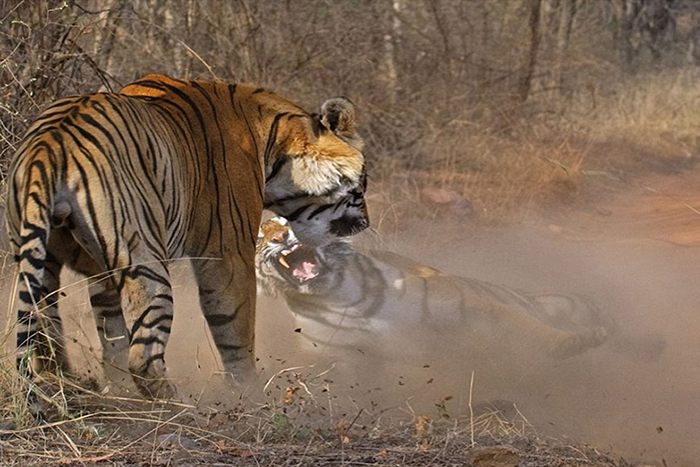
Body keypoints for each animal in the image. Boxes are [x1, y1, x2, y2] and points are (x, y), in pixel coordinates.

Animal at [5, 75, 370, 400]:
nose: (365, 224)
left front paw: (116, 387)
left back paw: (72, 387)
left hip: (39, 263)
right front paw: (248, 394)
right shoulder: (228, 251)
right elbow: (235, 327)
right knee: (144, 357)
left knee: (45, 342)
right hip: (145, 261)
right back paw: (183, 406)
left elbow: (112, 333)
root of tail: (49, 144)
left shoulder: (99, 271)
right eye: (362, 183)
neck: (275, 142)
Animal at [256, 218, 612, 368]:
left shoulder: (473, 308)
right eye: (261, 233)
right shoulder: (342, 355)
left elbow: (529, 328)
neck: (340, 295)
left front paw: (571, 342)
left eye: (289, 220)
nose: (283, 235)